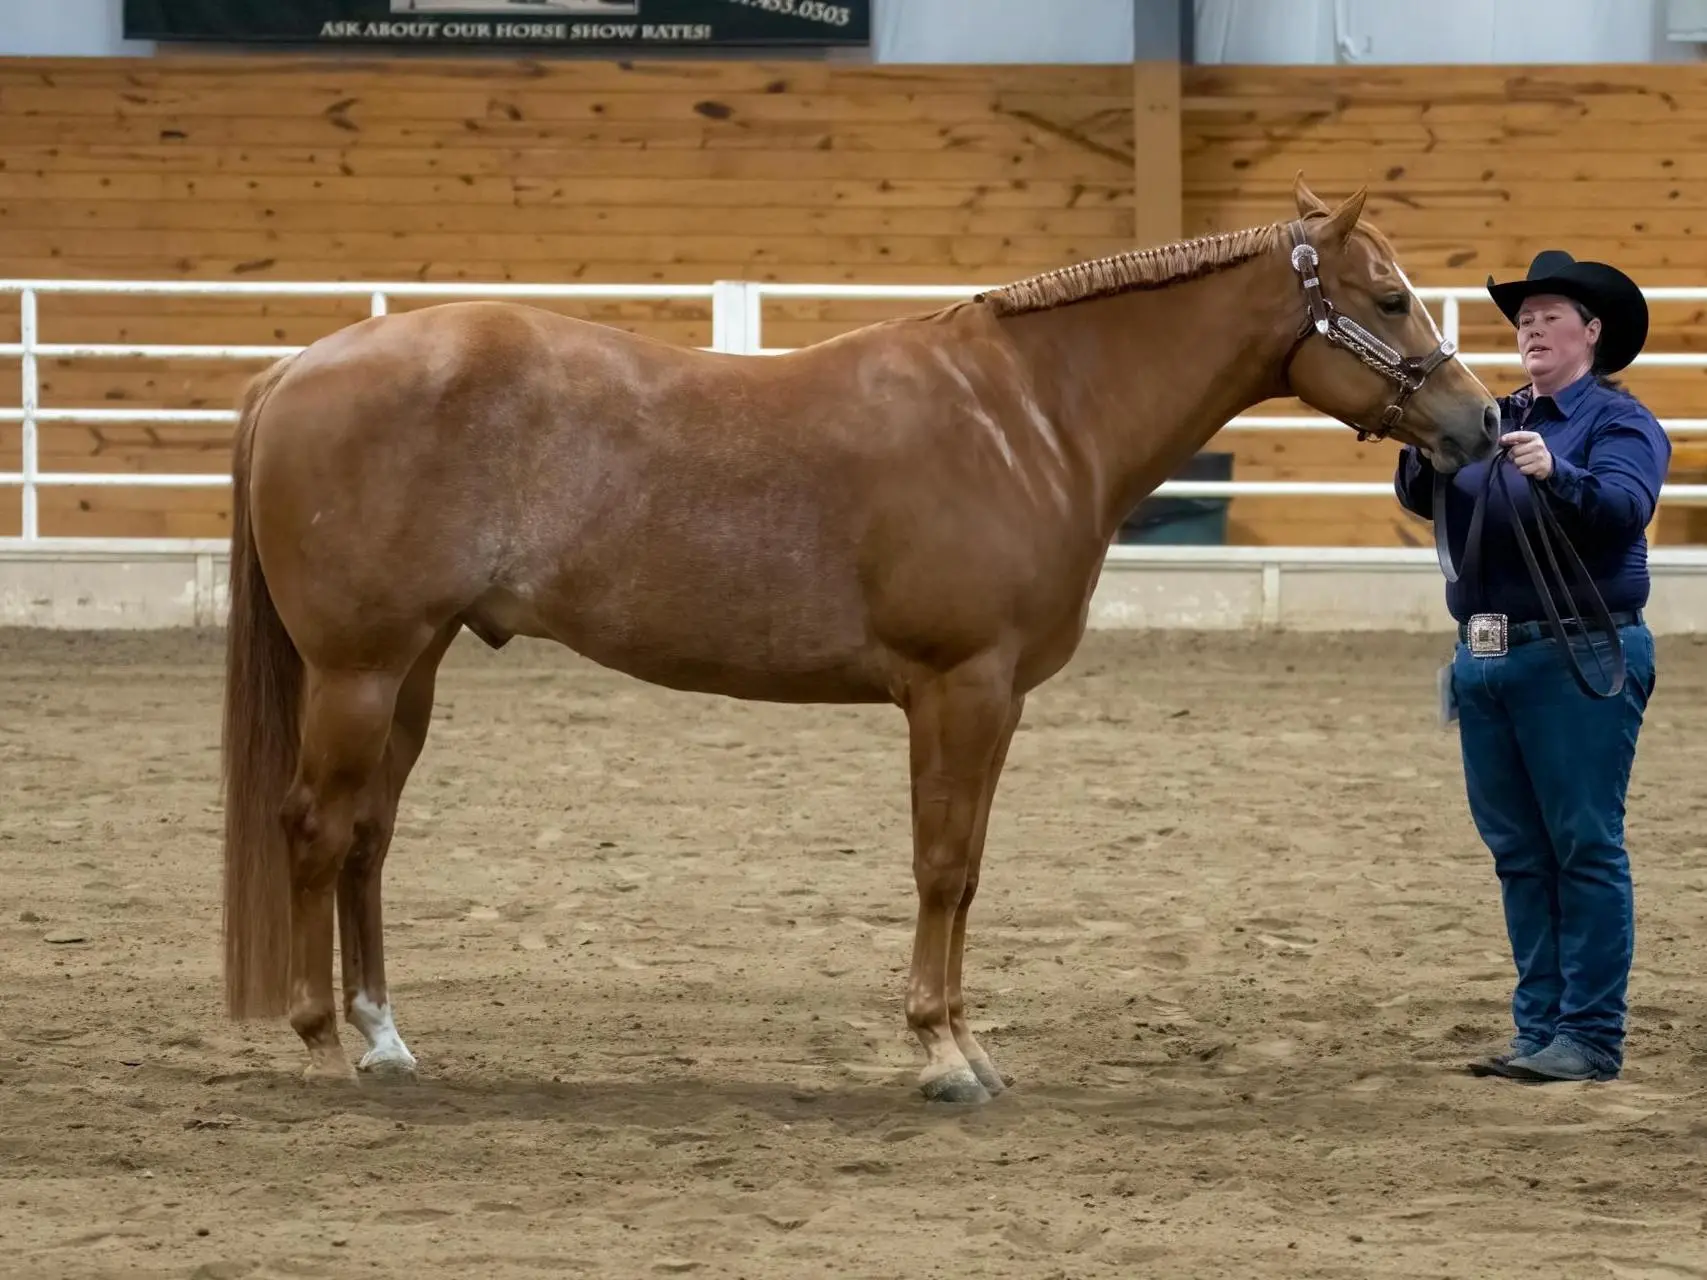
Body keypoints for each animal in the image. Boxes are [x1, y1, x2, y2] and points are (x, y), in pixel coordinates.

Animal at [216, 175, 1495, 1105]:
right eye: (1389, 300)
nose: (1481, 423)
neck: (1028, 416)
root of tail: (296, 369)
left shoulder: (997, 699)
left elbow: (968, 868)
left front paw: (969, 1045)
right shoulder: (958, 687)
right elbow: (942, 863)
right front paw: (942, 1055)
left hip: (411, 668)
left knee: (369, 836)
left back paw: (386, 1038)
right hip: (357, 670)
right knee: (317, 827)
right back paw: (322, 1042)